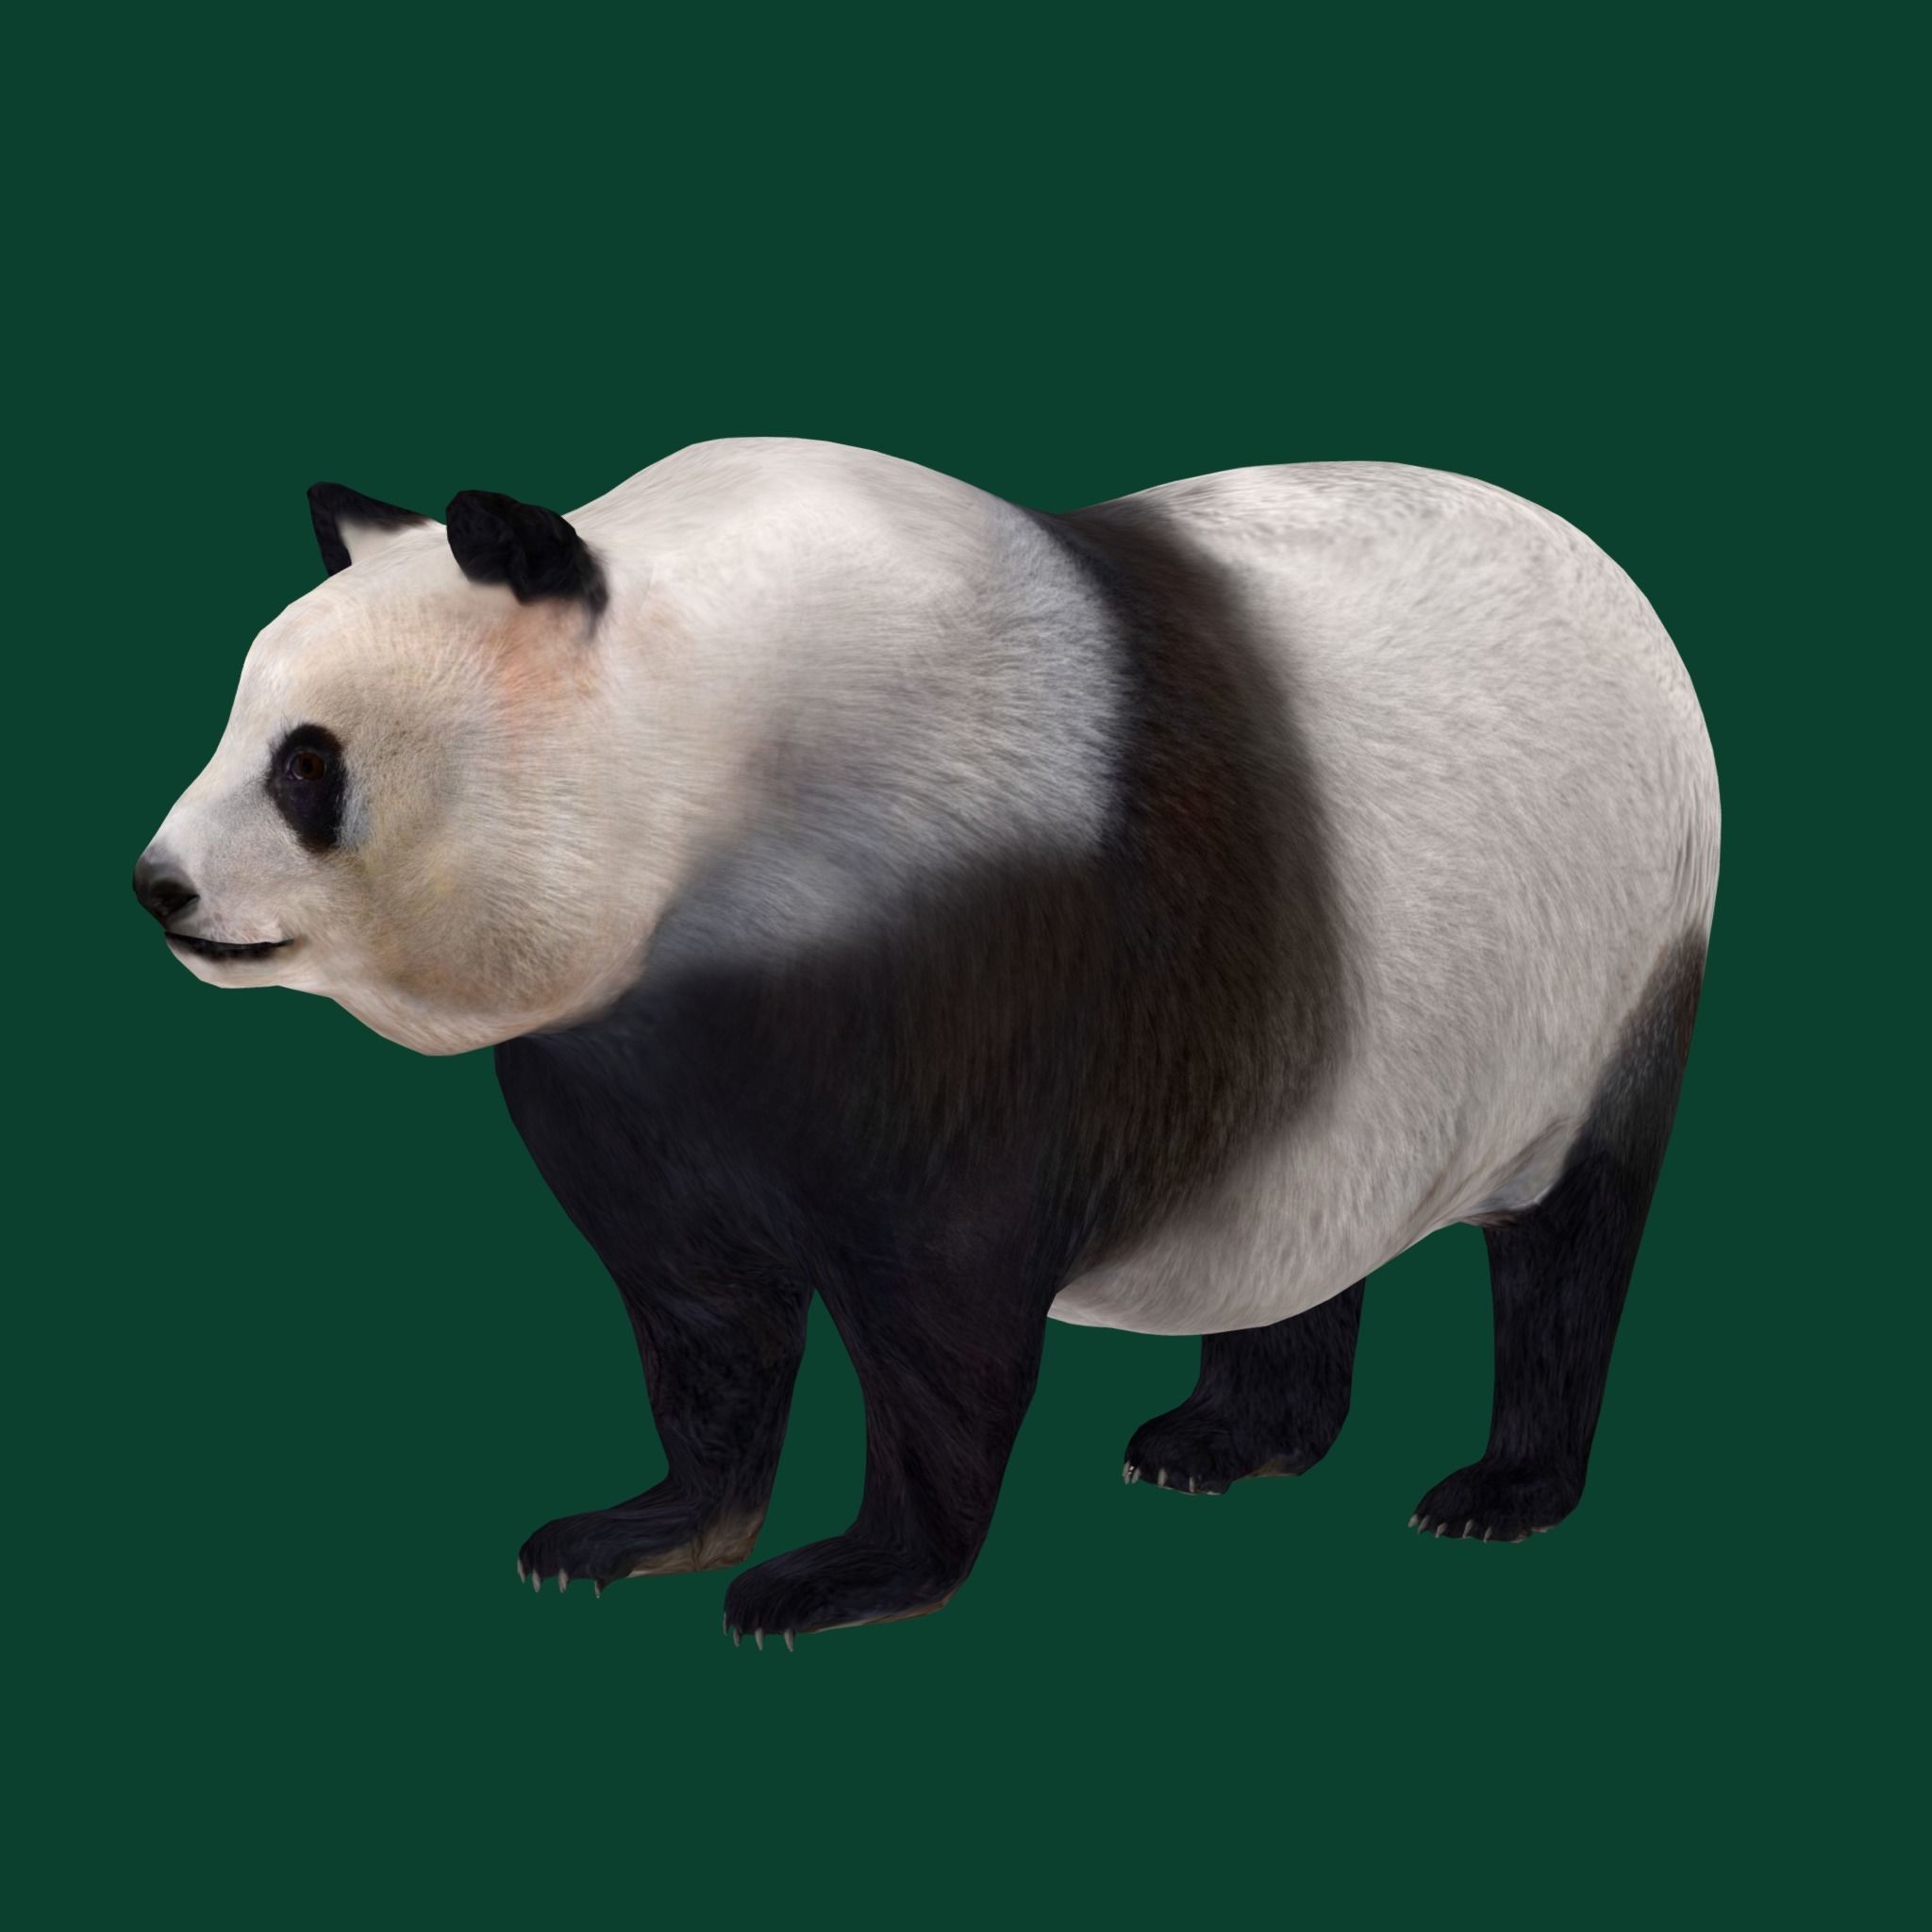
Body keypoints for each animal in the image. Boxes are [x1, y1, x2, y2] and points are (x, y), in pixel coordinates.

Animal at [134, 438, 1719, 1644]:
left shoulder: (975, 937)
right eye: (238, 721)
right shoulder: (634, 1052)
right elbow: (699, 1305)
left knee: (1569, 1248)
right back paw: (1223, 1445)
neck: (721, 742)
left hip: (1611, 952)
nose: (162, 888)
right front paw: (641, 1529)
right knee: (1307, 1209)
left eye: (309, 764)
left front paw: (842, 1577)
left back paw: (1497, 1494)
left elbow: (943, 1311)